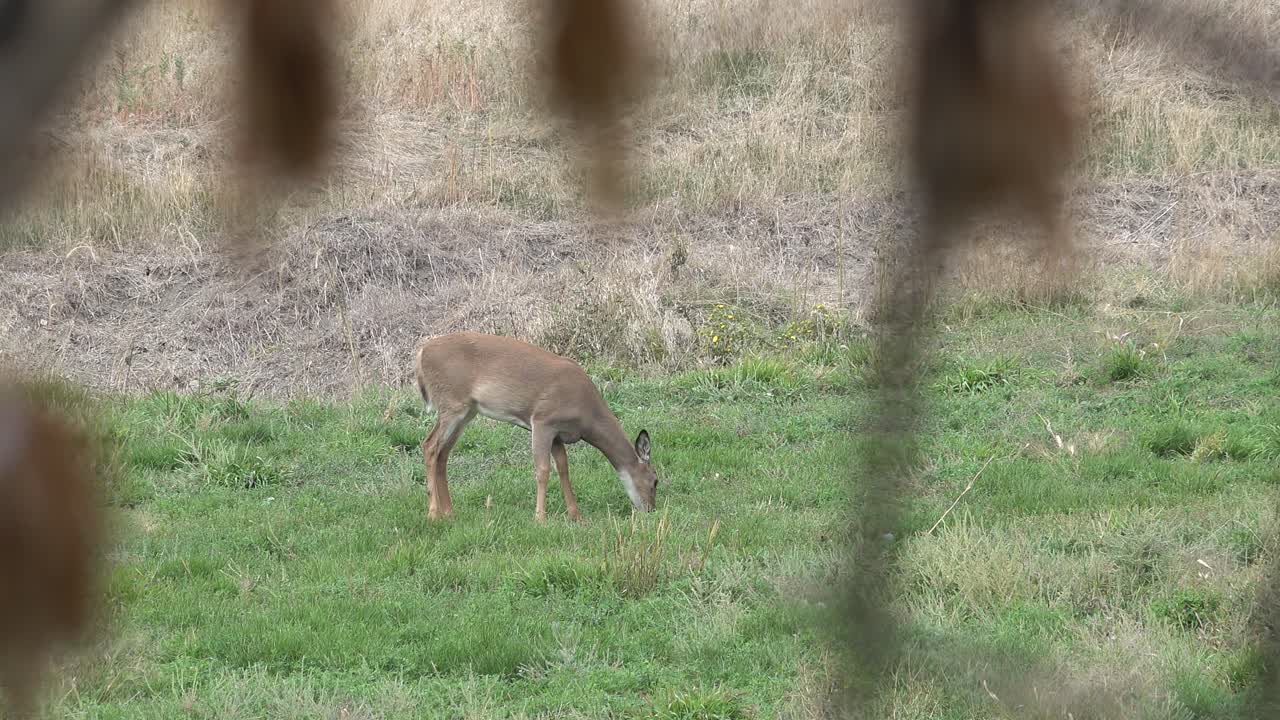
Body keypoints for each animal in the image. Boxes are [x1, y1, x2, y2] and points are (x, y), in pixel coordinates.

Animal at [413, 332, 658, 523]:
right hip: (452, 403)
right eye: (655, 480)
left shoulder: (558, 433)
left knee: (443, 453)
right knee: (430, 445)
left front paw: (576, 515)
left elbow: (563, 468)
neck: (586, 416)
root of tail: (421, 353)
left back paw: (449, 512)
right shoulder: (542, 420)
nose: (650, 509)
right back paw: (433, 513)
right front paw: (540, 517)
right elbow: (543, 470)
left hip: (466, 412)